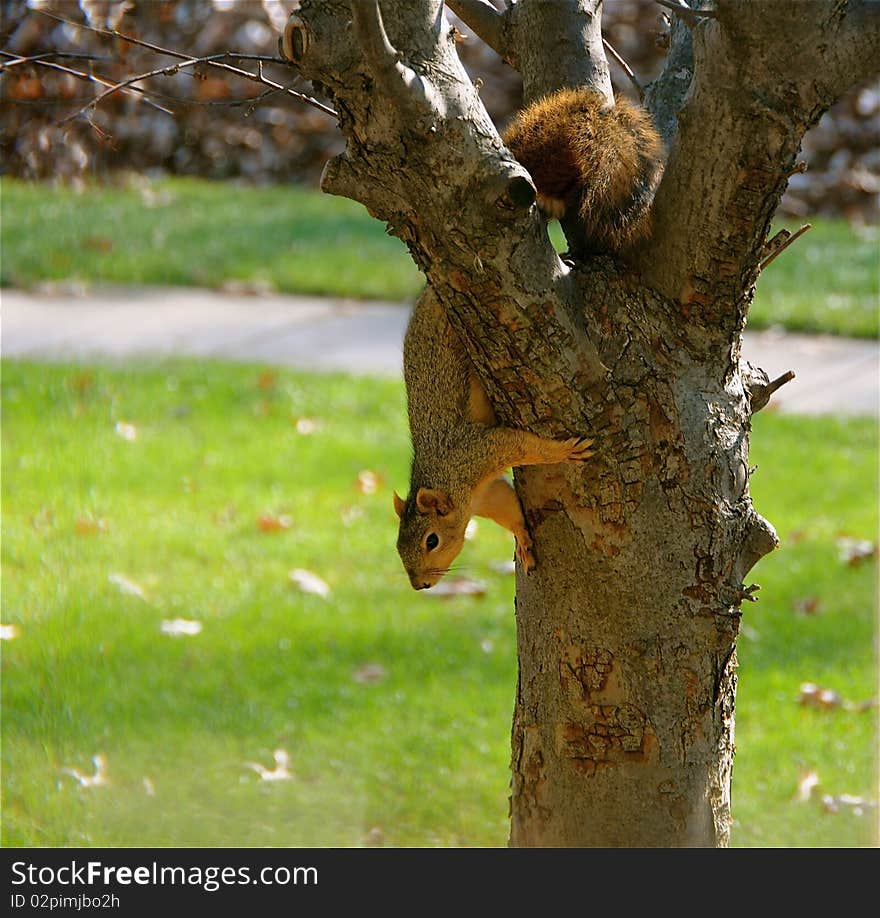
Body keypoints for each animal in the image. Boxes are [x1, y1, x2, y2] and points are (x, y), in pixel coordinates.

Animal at [392, 86, 660, 588]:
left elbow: (523, 445)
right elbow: (509, 509)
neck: (452, 484)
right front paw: (523, 541)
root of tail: (433, 291)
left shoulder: (478, 454)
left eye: (431, 541)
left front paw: (564, 450)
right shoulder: (487, 488)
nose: (420, 585)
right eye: (399, 548)